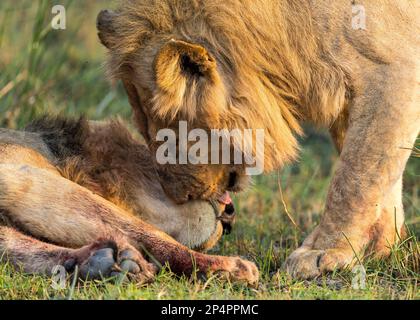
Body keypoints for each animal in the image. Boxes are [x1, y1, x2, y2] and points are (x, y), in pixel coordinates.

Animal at [0, 117, 258, 284]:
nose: (231, 212)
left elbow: (12, 247)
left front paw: (98, 263)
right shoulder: (22, 173)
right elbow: (147, 231)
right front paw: (227, 267)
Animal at [96, 0, 420, 278]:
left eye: (168, 130)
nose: (179, 196)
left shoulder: (392, 69)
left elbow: (354, 178)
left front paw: (321, 253)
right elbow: (376, 174)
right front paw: (381, 247)